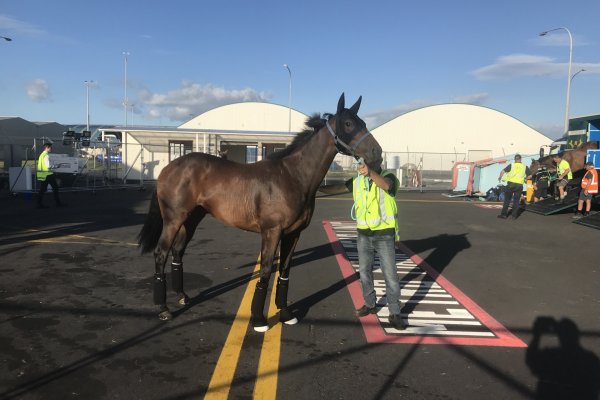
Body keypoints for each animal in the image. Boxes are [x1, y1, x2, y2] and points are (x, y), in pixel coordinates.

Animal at [138, 94, 382, 332]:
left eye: (363, 122)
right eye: (348, 124)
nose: (376, 153)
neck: (293, 176)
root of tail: (168, 168)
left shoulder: (293, 233)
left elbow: (284, 271)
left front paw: (285, 313)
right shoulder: (272, 232)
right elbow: (265, 271)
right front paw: (258, 319)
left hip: (192, 219)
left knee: (177, 252)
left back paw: (182, 296)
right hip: (173, 220)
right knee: (161, 253)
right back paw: (163, 308)